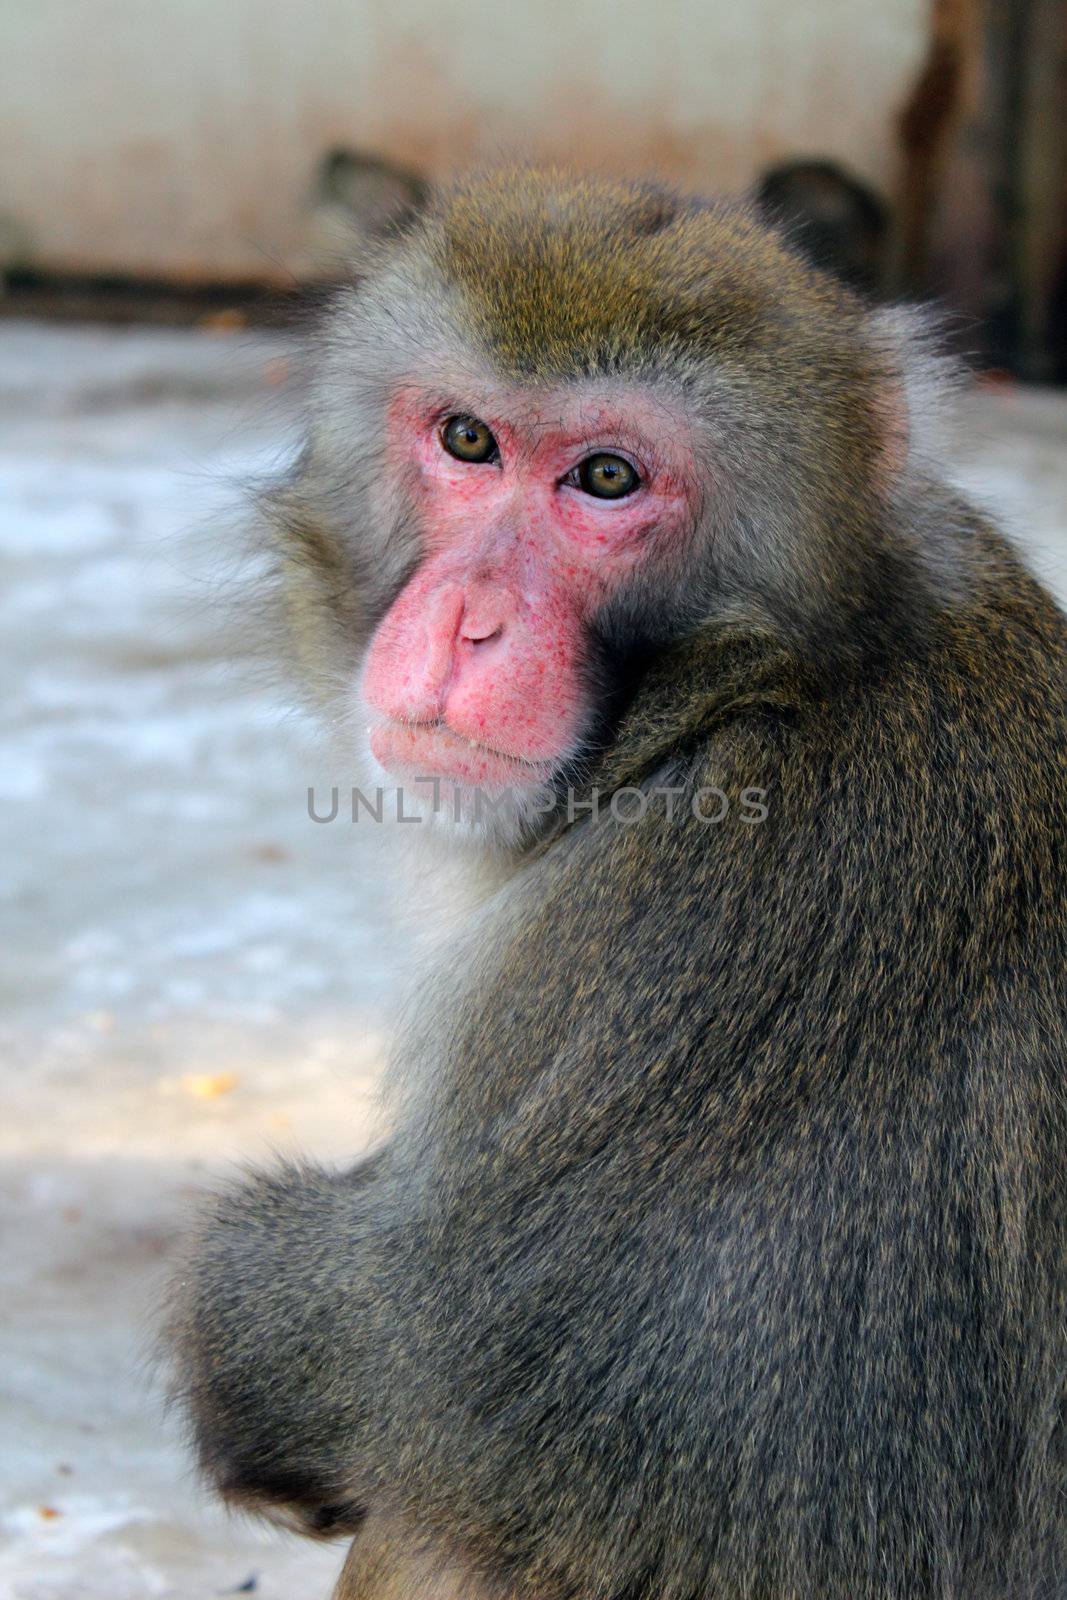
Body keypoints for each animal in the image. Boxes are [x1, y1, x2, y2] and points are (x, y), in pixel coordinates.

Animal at [163, 172, 1062, 1600]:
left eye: (603, 479)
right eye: (467, 440)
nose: (467, 619)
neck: (748, 682)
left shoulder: (702, 915)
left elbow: (470, 1363)